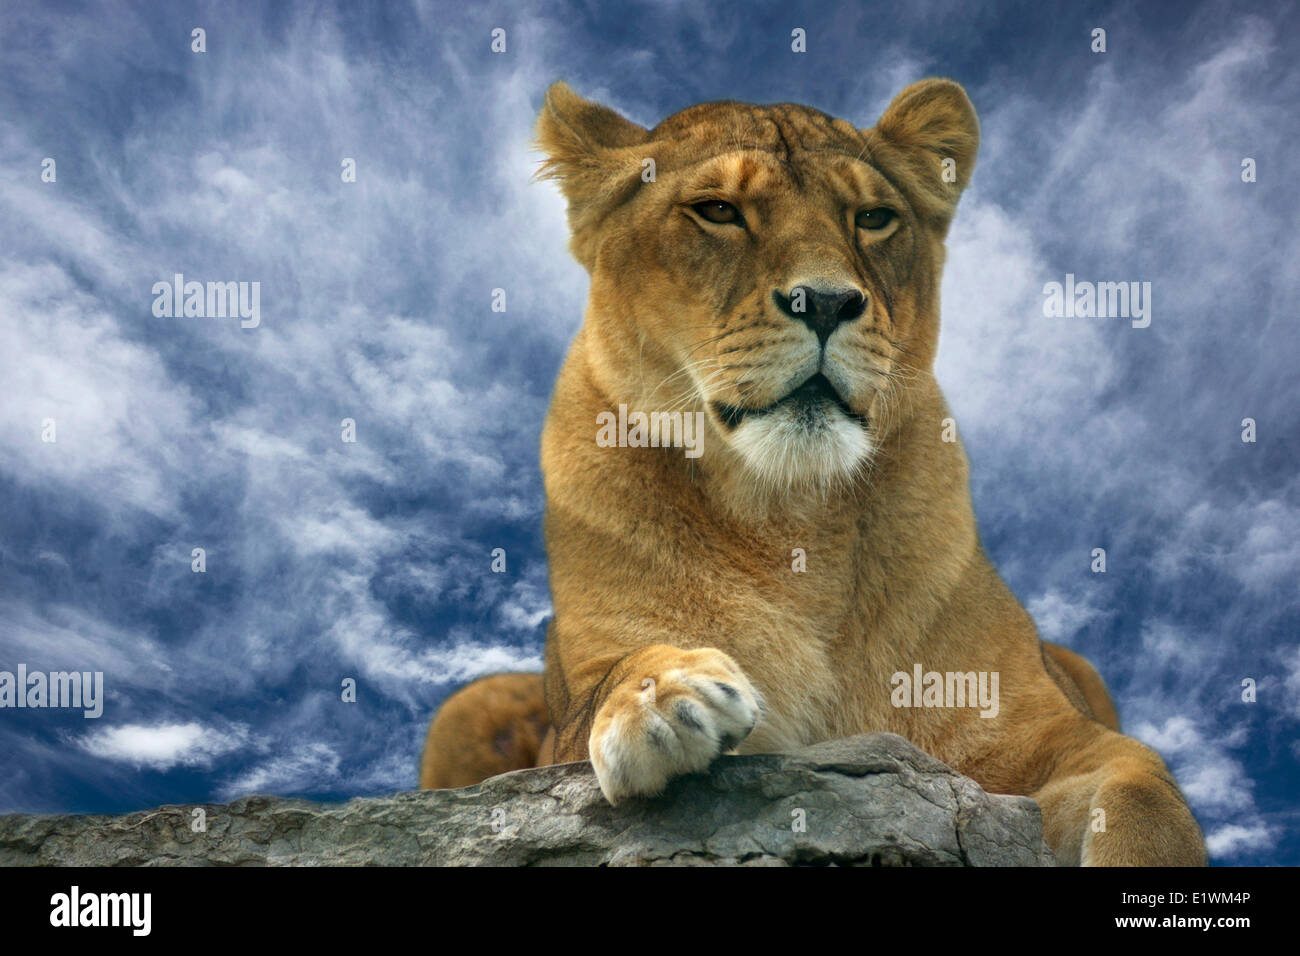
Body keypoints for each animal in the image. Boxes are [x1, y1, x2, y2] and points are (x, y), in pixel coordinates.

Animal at [419, 78, 1207, 867]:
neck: (793, 515)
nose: (825, 301)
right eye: (718, 210)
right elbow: (611, 681)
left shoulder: (1050, 737)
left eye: (874, 218)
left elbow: (1144, 801)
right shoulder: (567, 727)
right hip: (465, 706)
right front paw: (665, 696)